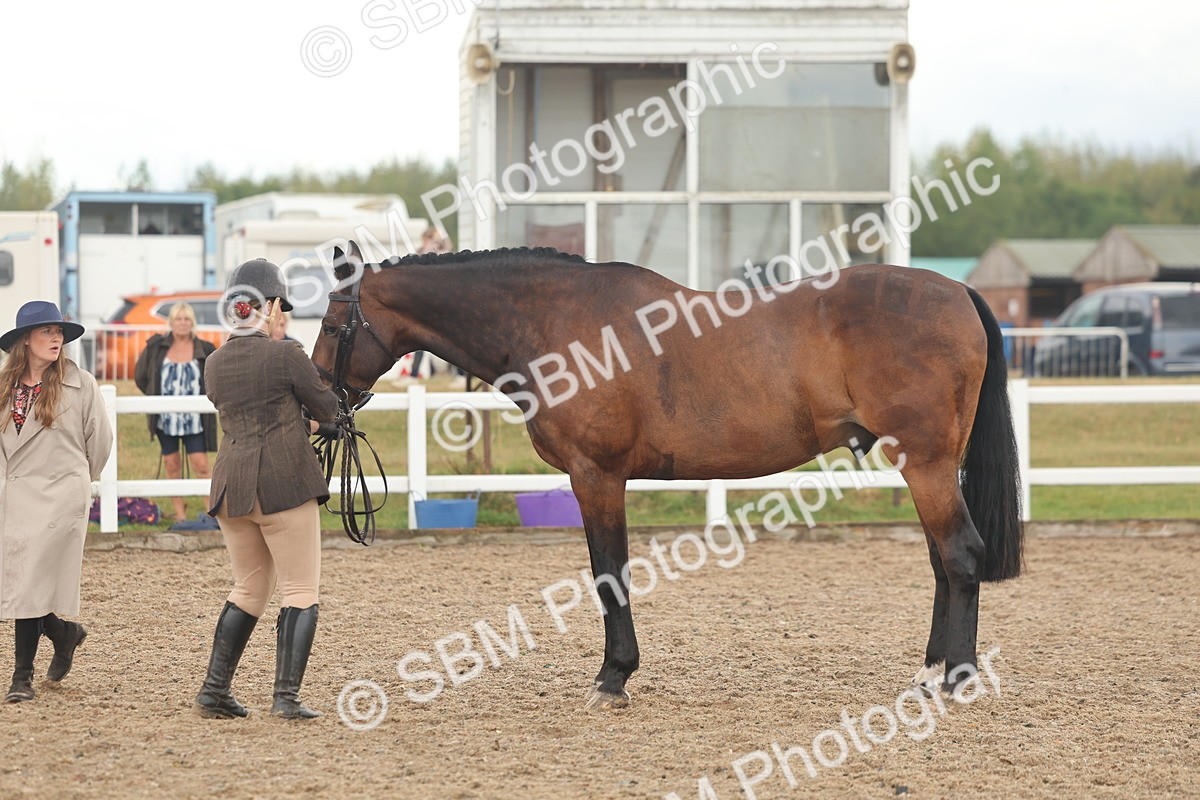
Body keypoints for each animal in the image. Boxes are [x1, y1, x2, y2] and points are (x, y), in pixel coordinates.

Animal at [309, 241, 1023, 710]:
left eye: (333, 321)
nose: (320, 395)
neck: (560, 324)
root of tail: (956, 293)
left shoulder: (596, 476)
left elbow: (609, 572)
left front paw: (613, 677)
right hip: (925, 467)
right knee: (941, 561)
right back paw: (931, 672)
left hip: (927, 464)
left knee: (961, 554)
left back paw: (958, 679)